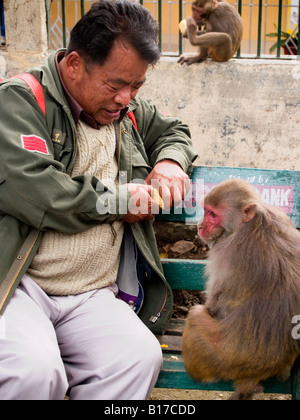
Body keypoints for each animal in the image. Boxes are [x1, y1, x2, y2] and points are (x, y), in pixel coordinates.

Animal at [182, 178, 300, 400]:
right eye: (206, 210)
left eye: (212, 214)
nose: (200, 226)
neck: (252, 223)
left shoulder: (227, 252)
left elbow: (215, 302)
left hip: (218, 359)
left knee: (196, 314)